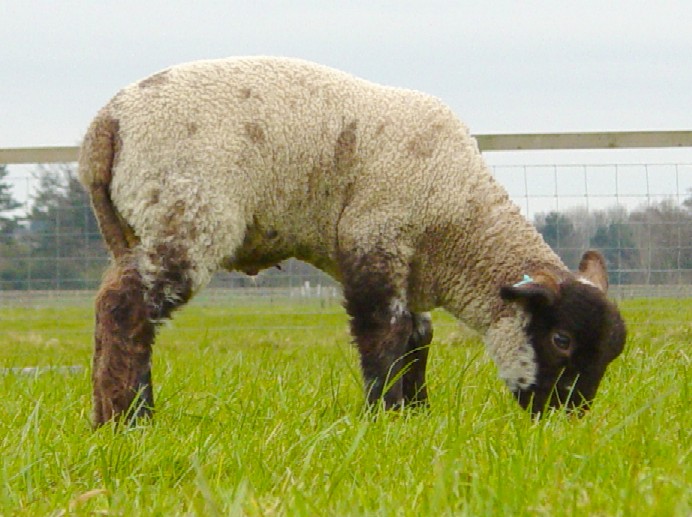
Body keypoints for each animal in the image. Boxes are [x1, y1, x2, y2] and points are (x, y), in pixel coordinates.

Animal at [78, 57, 626, 426]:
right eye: (561, 340)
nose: (564, 419)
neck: (461, 222)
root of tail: (108, 123)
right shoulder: (377, 238)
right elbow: (383, 332)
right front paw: (385, 415)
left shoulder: (408, 264)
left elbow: (417, 335)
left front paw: (416, 413)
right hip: (189, 213)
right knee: (125, 307)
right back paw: (129, 421)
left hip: (136, 225)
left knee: (122, 313)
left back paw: (118, 414)